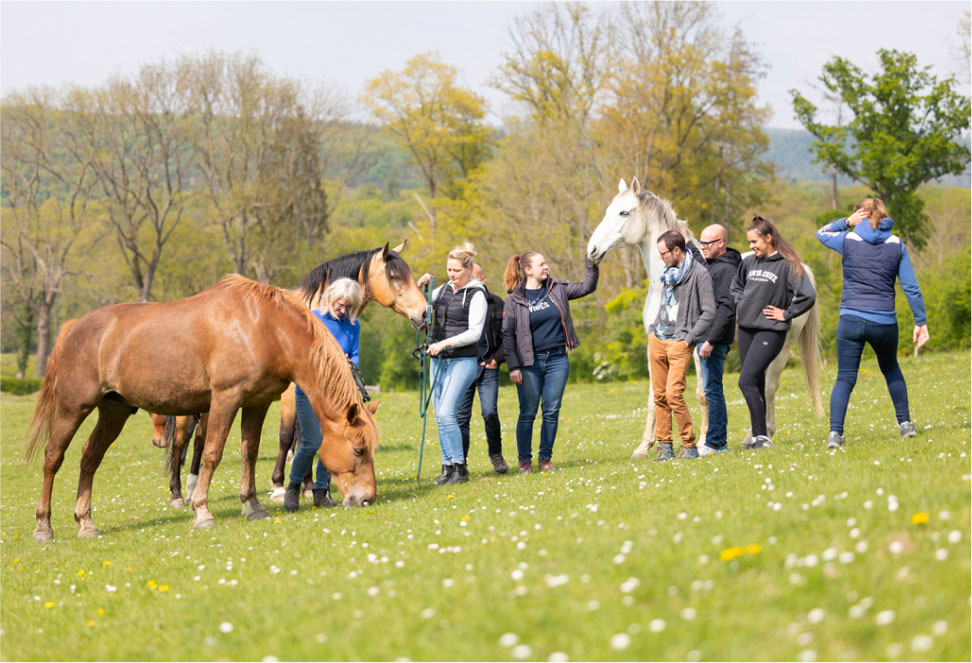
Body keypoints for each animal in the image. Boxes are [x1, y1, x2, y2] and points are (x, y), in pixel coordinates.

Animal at [22, 272, 380, 544]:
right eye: (359, 450)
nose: (367, 499)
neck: (264, 327)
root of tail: (74, 327)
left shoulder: (257, 402)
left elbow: (249, 453)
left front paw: (252, 506)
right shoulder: (225, 399)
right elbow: (212, 453)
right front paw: (202, 511)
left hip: (115, 411)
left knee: (89, 458)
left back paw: (86, 523)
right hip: (73, 409)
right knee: (53, 458)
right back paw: (43, 527)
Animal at [584, 176, 820, 460]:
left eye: (623, 213)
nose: (592, 250)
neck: (668, 282)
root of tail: (802, 270)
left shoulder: (697, 350)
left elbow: (703, 396)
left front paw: (703, 441)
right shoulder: (655, 346)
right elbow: (654, 396)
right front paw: (644, 447)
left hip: (781, 349)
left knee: (769, 387)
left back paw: (757, 436)